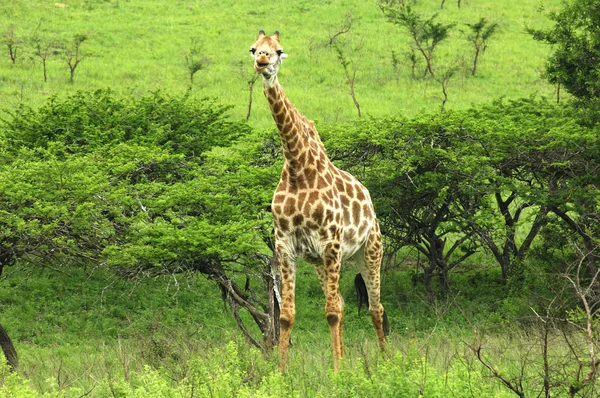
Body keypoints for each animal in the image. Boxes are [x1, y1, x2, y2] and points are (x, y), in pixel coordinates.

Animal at [248, 29, 390, 372]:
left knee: (375, 307)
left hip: (369, 251)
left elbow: (331, 312)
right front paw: (282, 373)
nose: (262, 63)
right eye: (254, 49)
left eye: (278, 51)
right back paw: (348, 359)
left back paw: (385, 362)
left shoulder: (330, 241)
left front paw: (338, 375)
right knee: (342, 301)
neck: (298, 167)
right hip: (321, 261)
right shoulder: (285, 244)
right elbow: (286, 316)